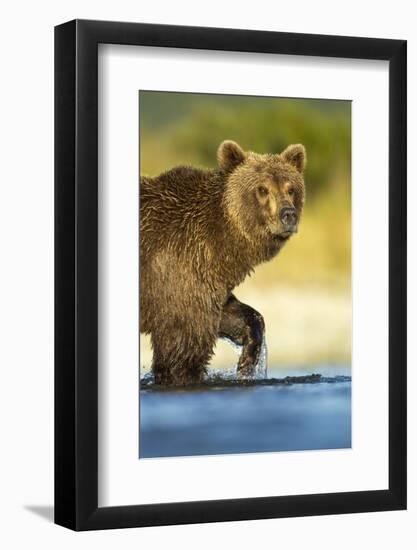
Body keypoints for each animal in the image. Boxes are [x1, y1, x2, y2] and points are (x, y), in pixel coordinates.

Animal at [140, 142, 306, 388]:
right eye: (262, 189)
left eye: (291, 188)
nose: (288, 215)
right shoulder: (179, 264)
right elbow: (183, 347)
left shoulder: (208, 279)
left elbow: (234, 314)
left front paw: (247, 361)